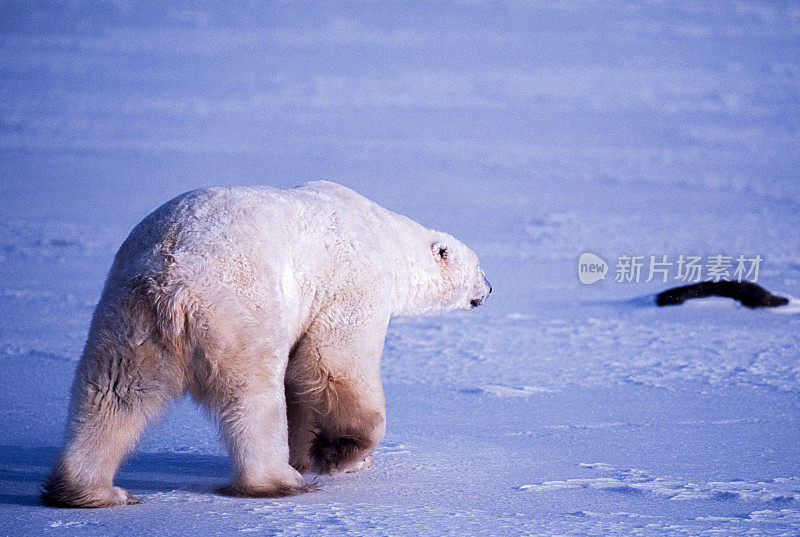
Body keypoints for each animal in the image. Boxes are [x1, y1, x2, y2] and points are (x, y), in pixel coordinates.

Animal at [43, 181, 494, 506]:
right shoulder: (353, 285)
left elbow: (304, 383)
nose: (489, 289)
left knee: (112, 392)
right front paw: (342, 455)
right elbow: (332, 363)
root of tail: (170, 282)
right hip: (239, 311)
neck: (379, 232)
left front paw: (312, 452)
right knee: (254, 395)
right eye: (479, 266)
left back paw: (92, 491)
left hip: (128, 318)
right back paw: (277, 481)